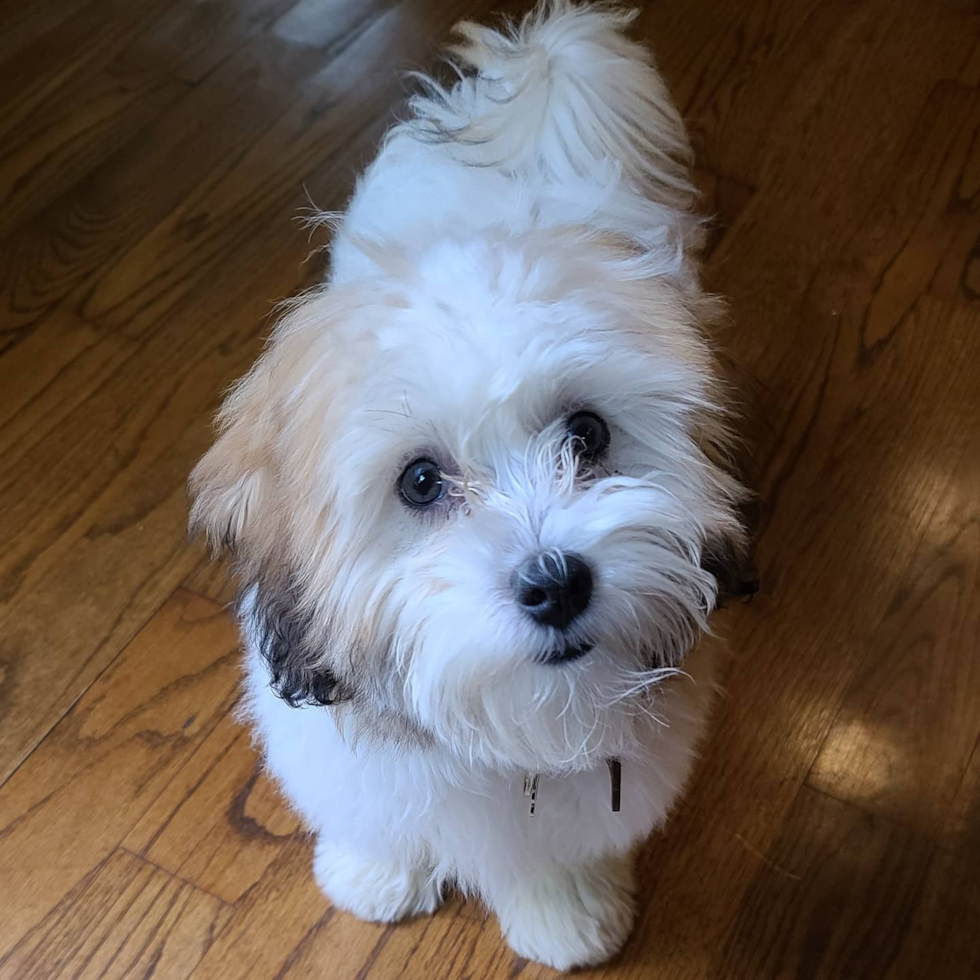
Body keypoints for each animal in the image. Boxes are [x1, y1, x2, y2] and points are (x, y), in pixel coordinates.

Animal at [189, 1, 752, 972]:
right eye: (420, 482)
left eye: (587, 435)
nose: (556, 583)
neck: (505, 717)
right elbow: (374, 817)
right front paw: (375, 872)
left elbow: (560, 850)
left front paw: (566, 910)